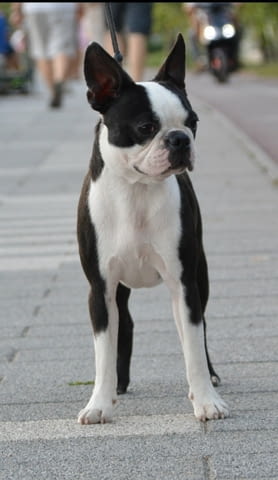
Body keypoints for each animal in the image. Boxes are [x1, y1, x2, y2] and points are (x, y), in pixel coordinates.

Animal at [76, 32, 228, 424]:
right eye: (145, 128)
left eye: (193, 122)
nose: (180, 139)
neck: (136, 192)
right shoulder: (100, 288)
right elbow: (103, 349)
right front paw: (99, 403)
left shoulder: (184, 282)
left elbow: (193, 343)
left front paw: (206, 401)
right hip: (118, 290)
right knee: (124, 324)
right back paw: (119, 384)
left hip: (199, 274)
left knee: (199, 329)